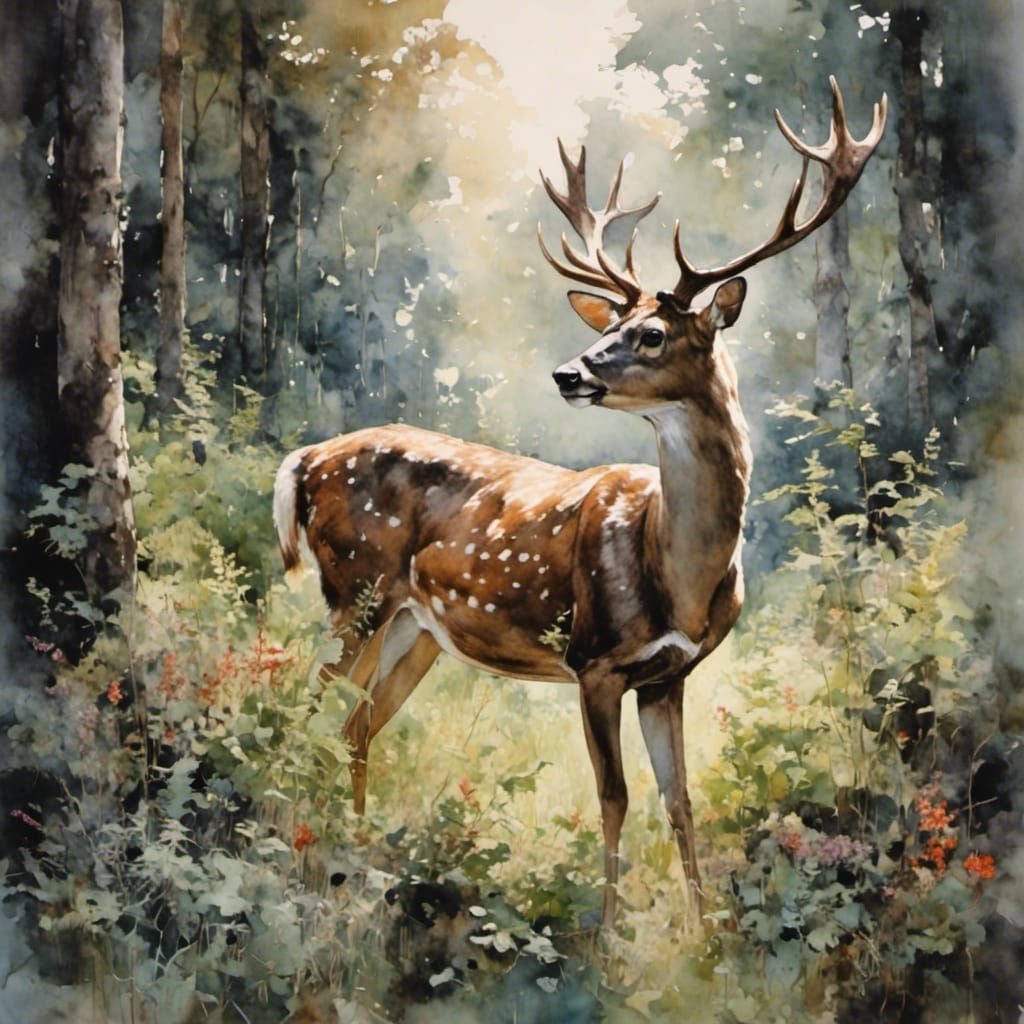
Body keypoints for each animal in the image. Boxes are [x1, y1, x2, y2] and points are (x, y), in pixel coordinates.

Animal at [273, 77, 886, 930]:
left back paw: (356, 855)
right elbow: (615, 796)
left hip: (415, 627)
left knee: (356, 724)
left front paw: (705, 935)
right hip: (355, 589)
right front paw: (605, 935)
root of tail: (304, 459)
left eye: (654, 333)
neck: (677, 572)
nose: (569, 372)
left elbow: (680, 800)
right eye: (615, 323)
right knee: (304, 708)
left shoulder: (667, 675)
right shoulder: (594, 658)